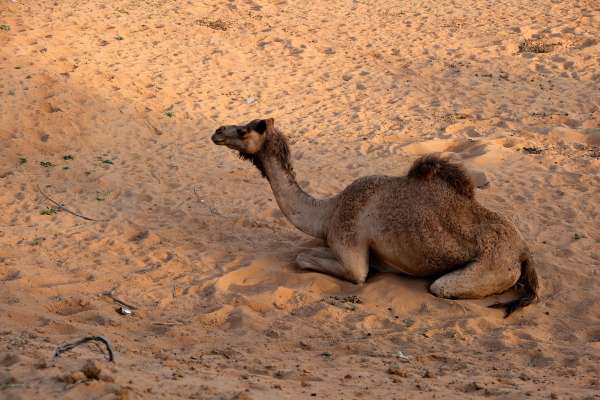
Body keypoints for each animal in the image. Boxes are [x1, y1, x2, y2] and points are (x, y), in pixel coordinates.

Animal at [211, 117, 540, 318]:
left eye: (245, 129)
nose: (218, 130)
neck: (328, 212)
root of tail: (524, 251)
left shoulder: (351, 247)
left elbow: (306, 259)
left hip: (488, 268)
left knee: (441, 287)